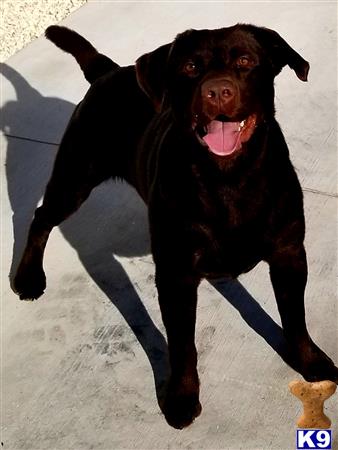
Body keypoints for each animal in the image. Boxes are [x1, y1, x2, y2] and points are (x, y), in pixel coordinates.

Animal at [13, 23, 338, 428]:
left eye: (246, 61)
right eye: (190, 67)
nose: (217, 90)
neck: (229, 179)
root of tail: (108, 72)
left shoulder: (288, 252)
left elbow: (295, 316)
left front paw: (311, 362)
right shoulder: (176, 275)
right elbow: (183, 345)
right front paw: (182, 397)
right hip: (74, 177)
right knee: (41, 216)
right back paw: (28, 277)